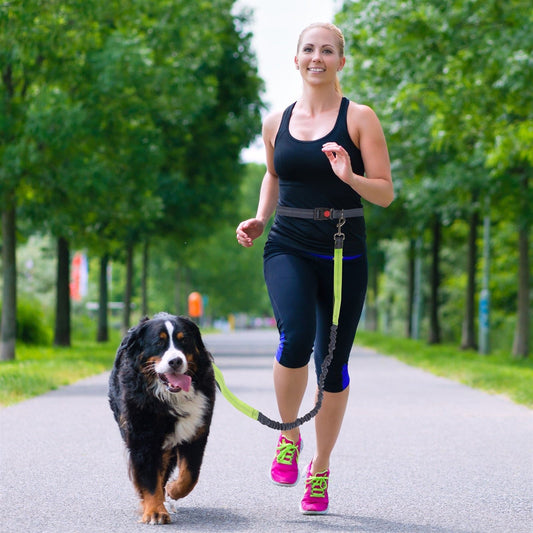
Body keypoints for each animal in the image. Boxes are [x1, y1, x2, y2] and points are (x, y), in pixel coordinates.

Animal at [108, 312, 216, 524]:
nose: (176, 361)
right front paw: (155, 511)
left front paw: (173, 489)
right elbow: (150, 478)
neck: (170, 397)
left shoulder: (197, 432)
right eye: (159, 342)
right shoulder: (143, 437)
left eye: (184, 341)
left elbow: (190, 474)